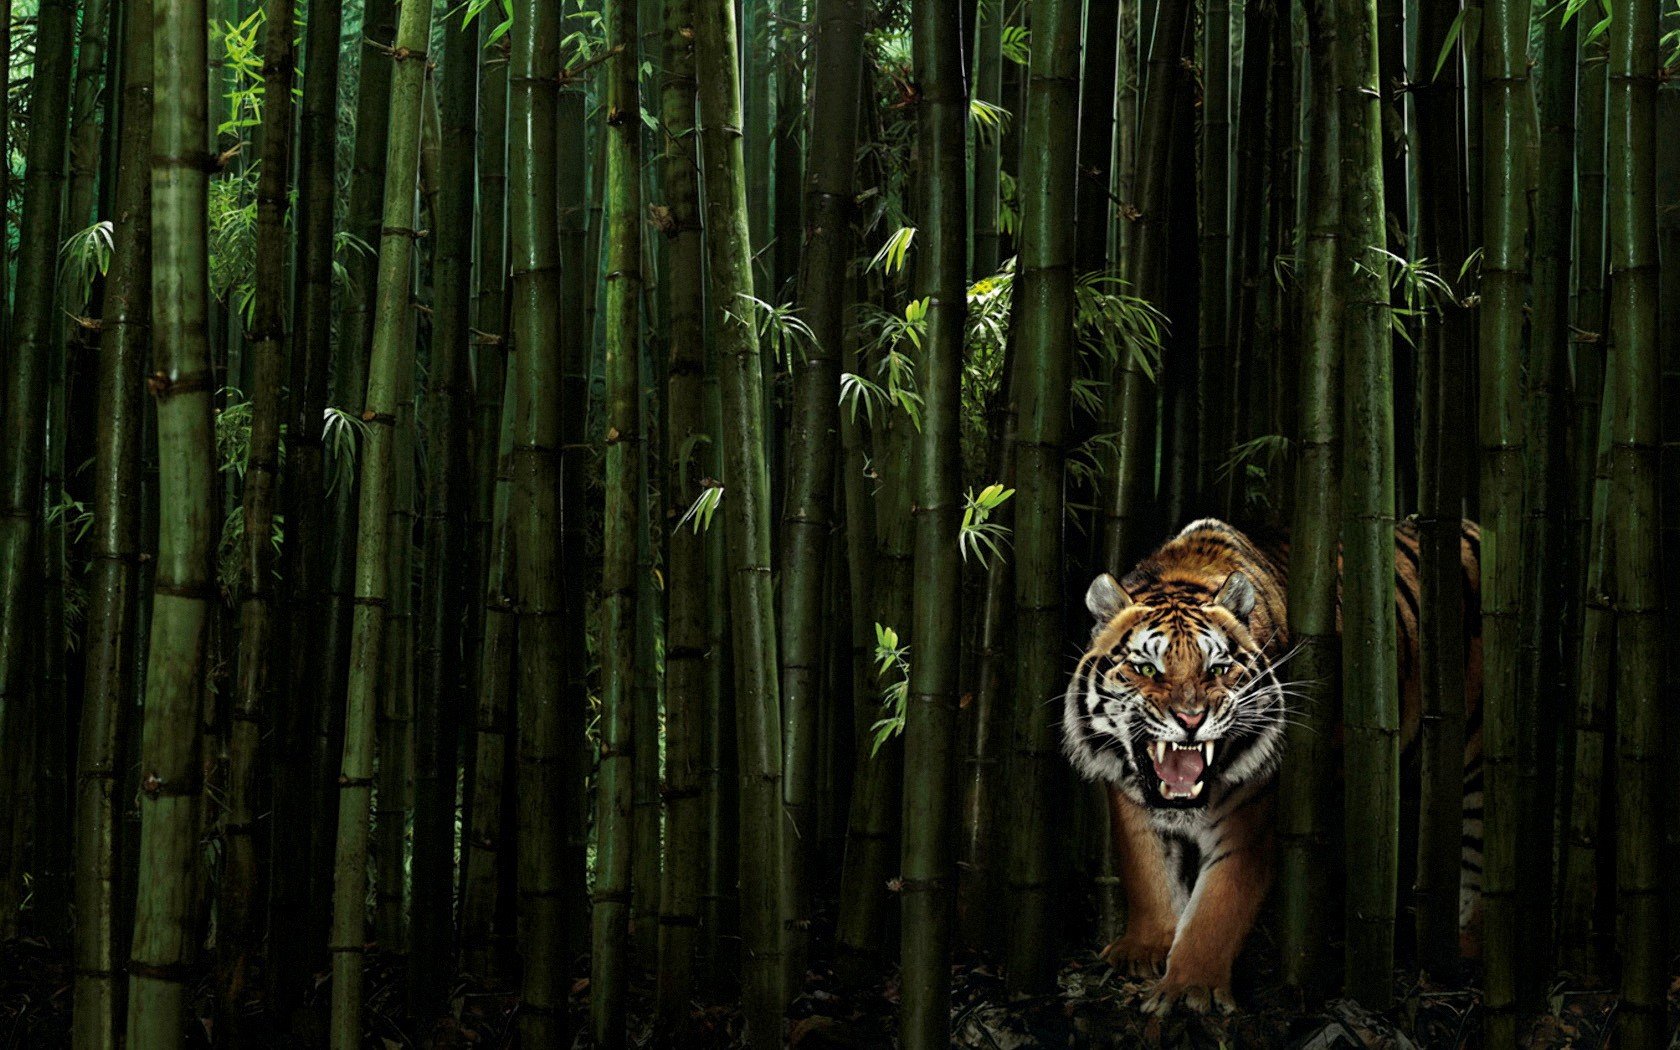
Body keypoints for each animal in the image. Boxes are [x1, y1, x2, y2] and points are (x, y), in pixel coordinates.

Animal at [1062, 517, 1483, 1014]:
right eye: (1147, 669)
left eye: (1217, 669)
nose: (1190, 719)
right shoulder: (1130, 800)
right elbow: (1148, 873)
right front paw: (1144, 950)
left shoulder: (1251, 817)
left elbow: (1218, 907)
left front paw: (1189, 990)